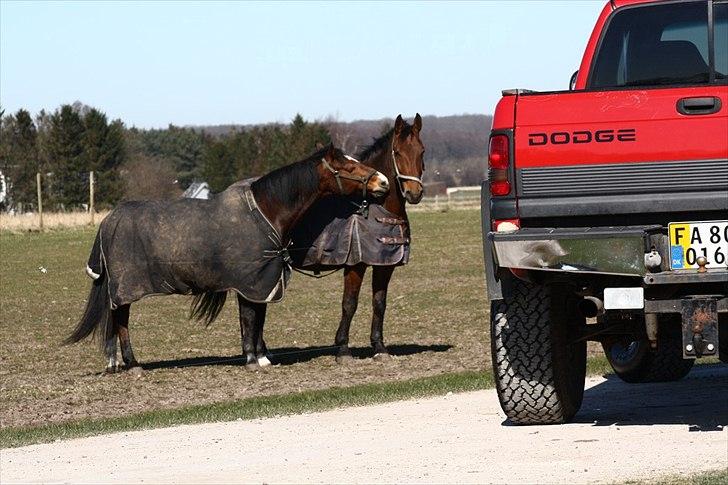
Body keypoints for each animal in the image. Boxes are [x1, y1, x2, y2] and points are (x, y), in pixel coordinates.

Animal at [65, 144, 390, 370]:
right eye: (348, 166)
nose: (383, 182)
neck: (267, 212)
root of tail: (109, 220)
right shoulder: (251, 281)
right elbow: (250, 318)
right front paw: (252, 359)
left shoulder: (260, 282)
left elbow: (257, 318)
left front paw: (260, 357)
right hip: (127, 287)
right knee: (121, 319)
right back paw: (133, 364)